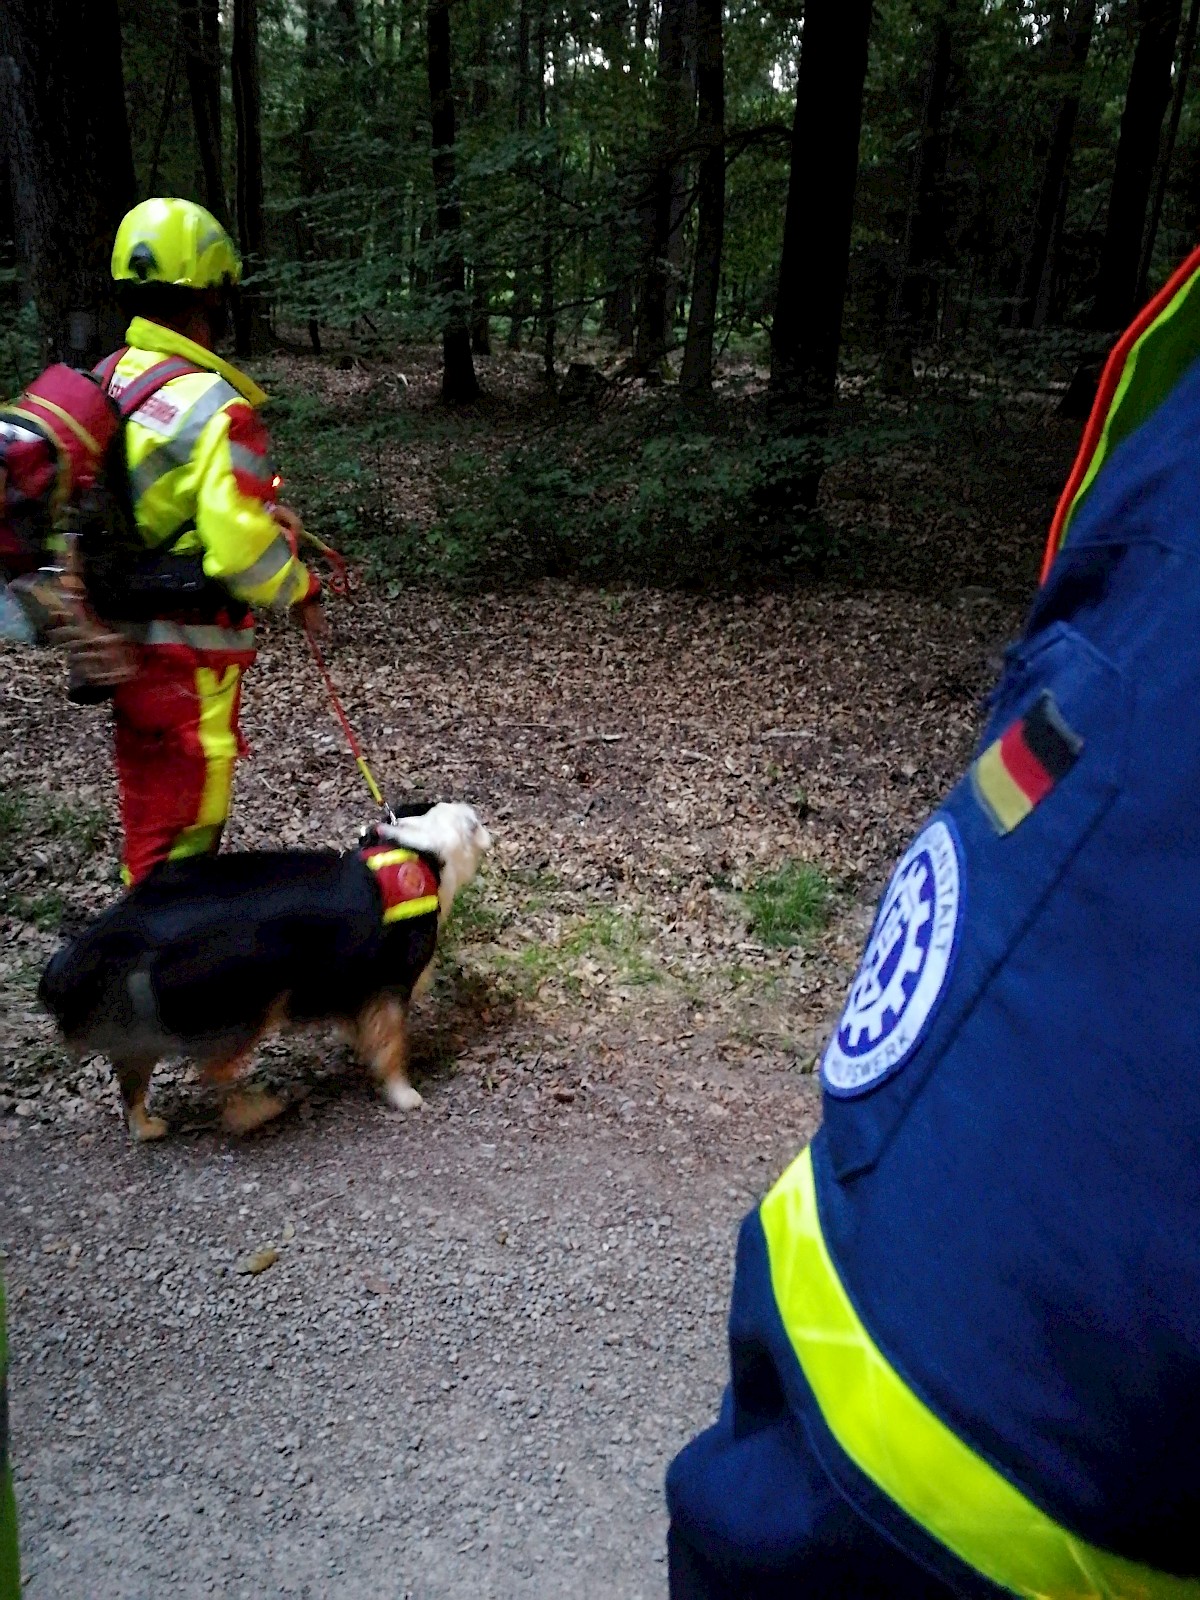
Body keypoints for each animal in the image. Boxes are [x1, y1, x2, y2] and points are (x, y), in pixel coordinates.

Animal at [41, 800, 492, 1139]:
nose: (492, 831)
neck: (421, 849)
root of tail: (134, 917)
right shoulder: (389, 986)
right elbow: (391, 1047)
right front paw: (403, 1094)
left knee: (133, 1072)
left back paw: (146, 1126)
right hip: (247, 1002)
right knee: (212, 1070)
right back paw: (254, 1111)